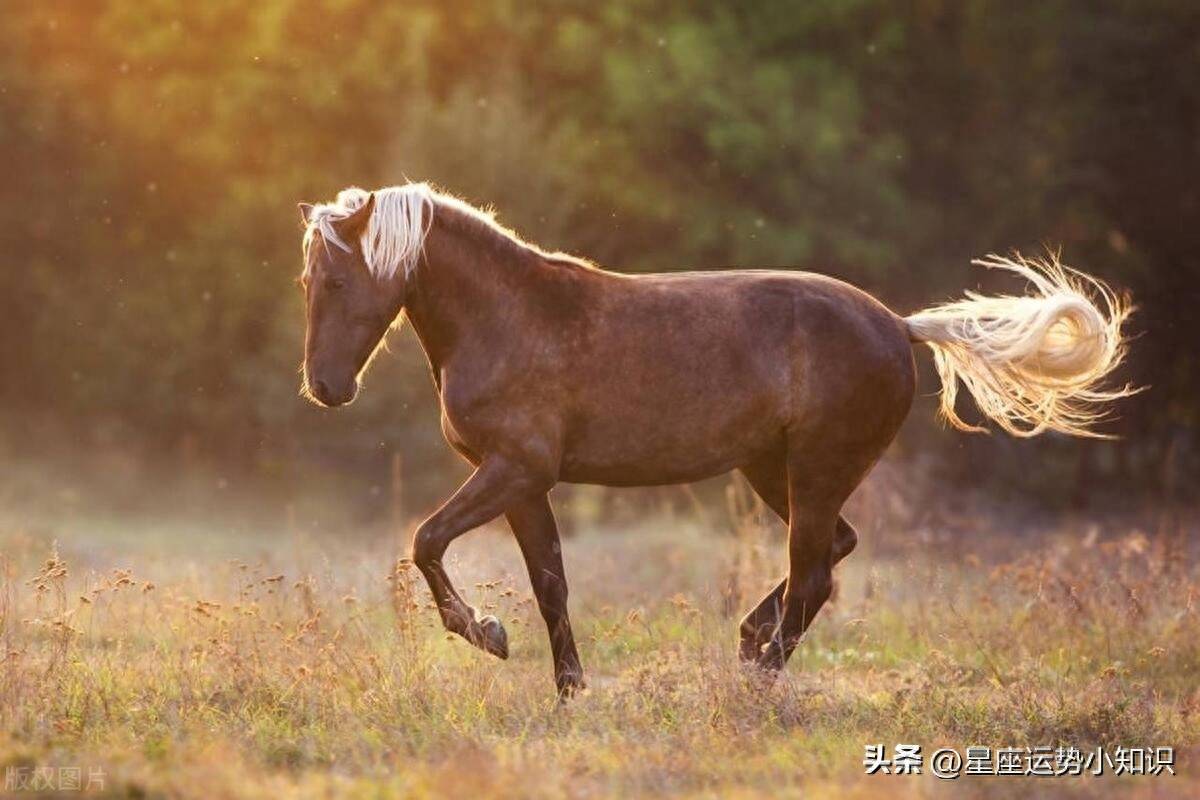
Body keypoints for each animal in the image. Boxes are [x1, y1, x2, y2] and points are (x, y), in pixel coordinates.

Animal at [297, 184, 1132, 695]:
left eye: (337, 282)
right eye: (308, 283)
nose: (326, 388)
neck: (509, 316)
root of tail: (899, 326)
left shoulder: (513, 470)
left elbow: (427, 540)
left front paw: (485, 634)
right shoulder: (526, 484)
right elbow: (550, 584)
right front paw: (569, 691)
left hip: (816, 470)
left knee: (812, 574)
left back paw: (757, 680)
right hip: (773, 470)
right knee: (830, 556)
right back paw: (747, 644)